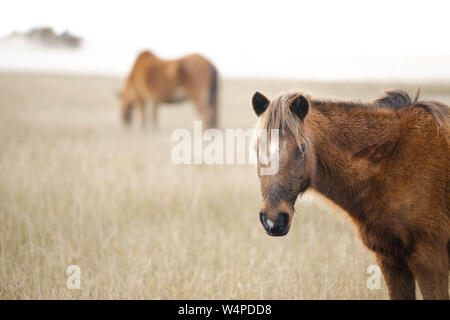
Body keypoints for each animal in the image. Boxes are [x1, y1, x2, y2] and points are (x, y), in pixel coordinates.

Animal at [251, 90, 448, 300]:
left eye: (301, 150)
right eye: (257, 150)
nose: (273, 220)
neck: (394, 160)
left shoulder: (430, 259)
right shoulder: (390, 260)